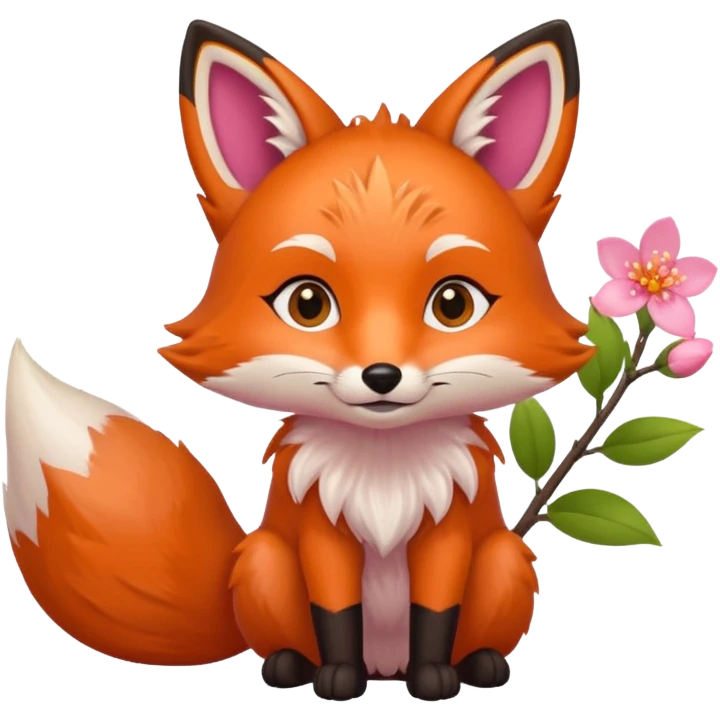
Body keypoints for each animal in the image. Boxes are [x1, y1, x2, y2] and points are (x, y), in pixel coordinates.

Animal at [2, 18, 591, 701]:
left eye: (454, 304)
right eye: (308, 303)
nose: (382, 376)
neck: (382, 469)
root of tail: (384, 665)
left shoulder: (447, 531)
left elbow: (435, 611)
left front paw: (435, 677)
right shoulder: (318, 531)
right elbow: (335, 611)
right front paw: (336, 678)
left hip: (502, 559)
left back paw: (479, 664)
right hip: (264, 559)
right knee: (286, 633)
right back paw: (289, 666)